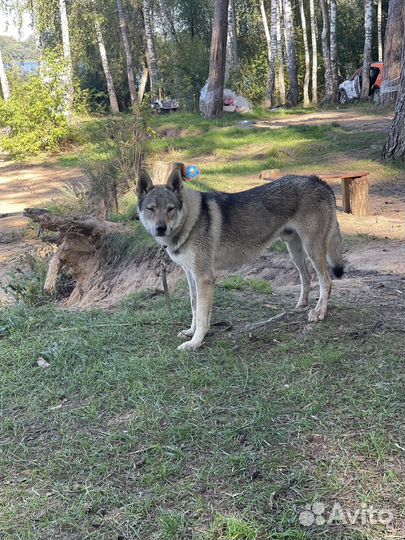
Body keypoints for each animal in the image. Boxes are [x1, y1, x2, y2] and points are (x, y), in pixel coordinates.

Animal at [137, 171, 342, 352]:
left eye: (170, 209)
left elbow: (202, 315)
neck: (191, 220)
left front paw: (195, 342)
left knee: (326, 281)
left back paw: (319, 312)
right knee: (306, 277)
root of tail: (318, 180)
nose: (160, 228)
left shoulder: (204, 277)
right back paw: (302, 305)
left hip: (312, 250)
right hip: (295, 251)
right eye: (151, 209)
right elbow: (195, 306)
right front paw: (191, 332)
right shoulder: (191, 274)